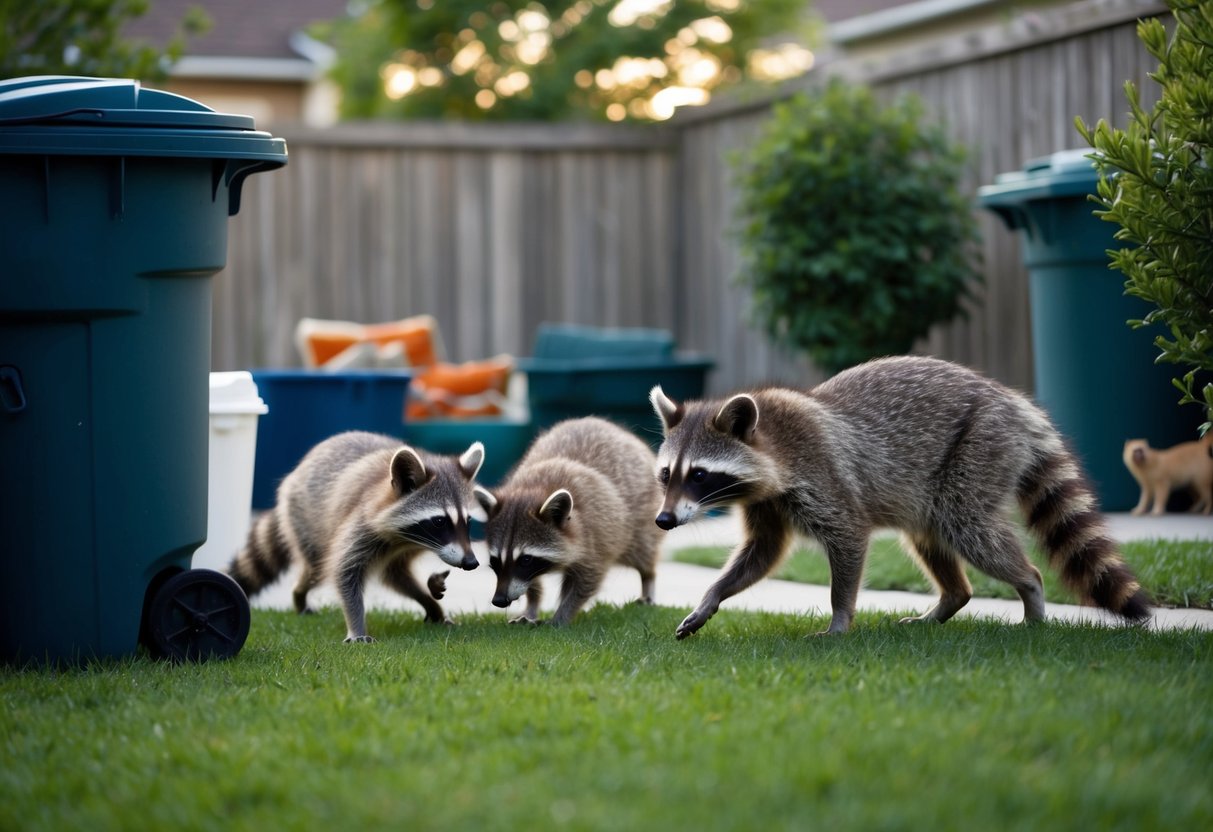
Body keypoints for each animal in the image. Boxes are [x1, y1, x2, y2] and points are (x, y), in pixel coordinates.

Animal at [228, 430, 490, 643]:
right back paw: (299, 595)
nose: (471, 562)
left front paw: (431, 603)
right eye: (439, 521)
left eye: (468, 521)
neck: (405, 540)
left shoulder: (405, 548)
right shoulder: (362, 523)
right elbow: (345, 571)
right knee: (315, 570)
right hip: (305, 520)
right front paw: (356, 625)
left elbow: (396, 575)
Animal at [475, 417, 662, 625]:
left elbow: (587, 581)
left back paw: (648, 579)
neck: (535, 489)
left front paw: (562, 615)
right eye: (494, 560)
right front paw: (532, 605)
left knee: (643, 554)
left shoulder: (596, 536)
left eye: (526, 559)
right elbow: (531, 582)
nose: (499, 600)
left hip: (642, 519)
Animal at [650, 355, 1152, 639]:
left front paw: (840, 619)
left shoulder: (821, 475)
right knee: (932, 538)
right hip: (931, 486)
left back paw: (1030, 590)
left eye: (699, 475)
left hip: (980, 447)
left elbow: (849, 538)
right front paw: (712, 596)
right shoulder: (766, 503)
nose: (664, 521)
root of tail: (1012, 401)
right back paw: (951, 600)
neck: (770, 438)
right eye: (666, 475)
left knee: (969, 528)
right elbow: (761, 552)